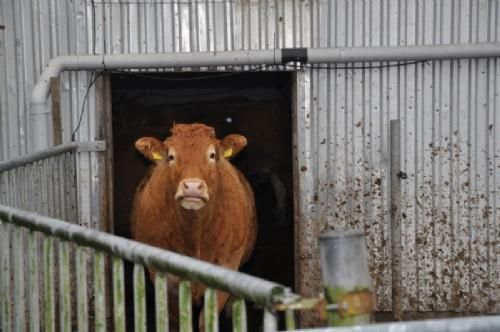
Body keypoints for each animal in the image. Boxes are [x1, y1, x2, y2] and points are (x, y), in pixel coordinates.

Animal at [131, 123, 256, 328]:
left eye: (212, 155)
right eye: (171, 156)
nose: (192, 187)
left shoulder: (226, 268)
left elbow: (207, 321)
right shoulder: (166, 280)